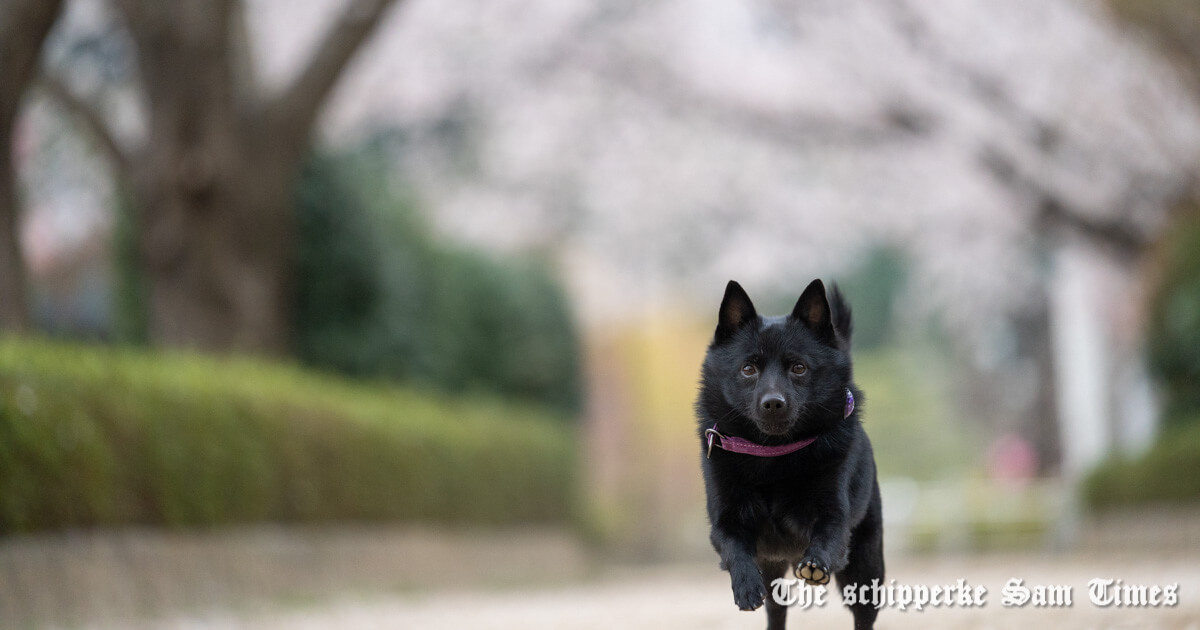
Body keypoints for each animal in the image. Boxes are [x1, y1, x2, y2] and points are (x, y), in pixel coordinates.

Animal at [700, 279, 888, 628]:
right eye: (748, 368)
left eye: (798, 367)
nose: (773, 402)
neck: (773, 456)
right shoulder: (725, 522)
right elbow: (734, 549)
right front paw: (746, 586)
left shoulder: (833, 515)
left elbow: (827, 535)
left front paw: (815, 563)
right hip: (773, 568)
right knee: (776, 609)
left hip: (865, 567)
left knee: (864, 614)